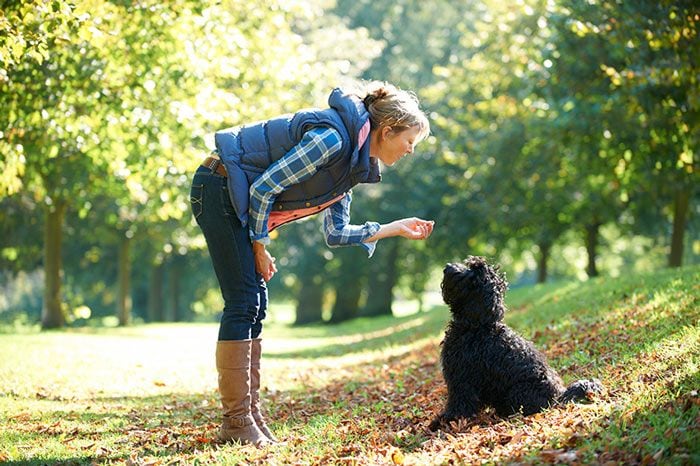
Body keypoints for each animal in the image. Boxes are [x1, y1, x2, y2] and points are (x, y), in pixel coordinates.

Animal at [430, 256, 604, 432]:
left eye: (472, 273)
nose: (447, 267)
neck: (477, 326)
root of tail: (558, 397)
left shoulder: (462, 380)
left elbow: (459, 406)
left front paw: (444, 422)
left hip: (517, 393)